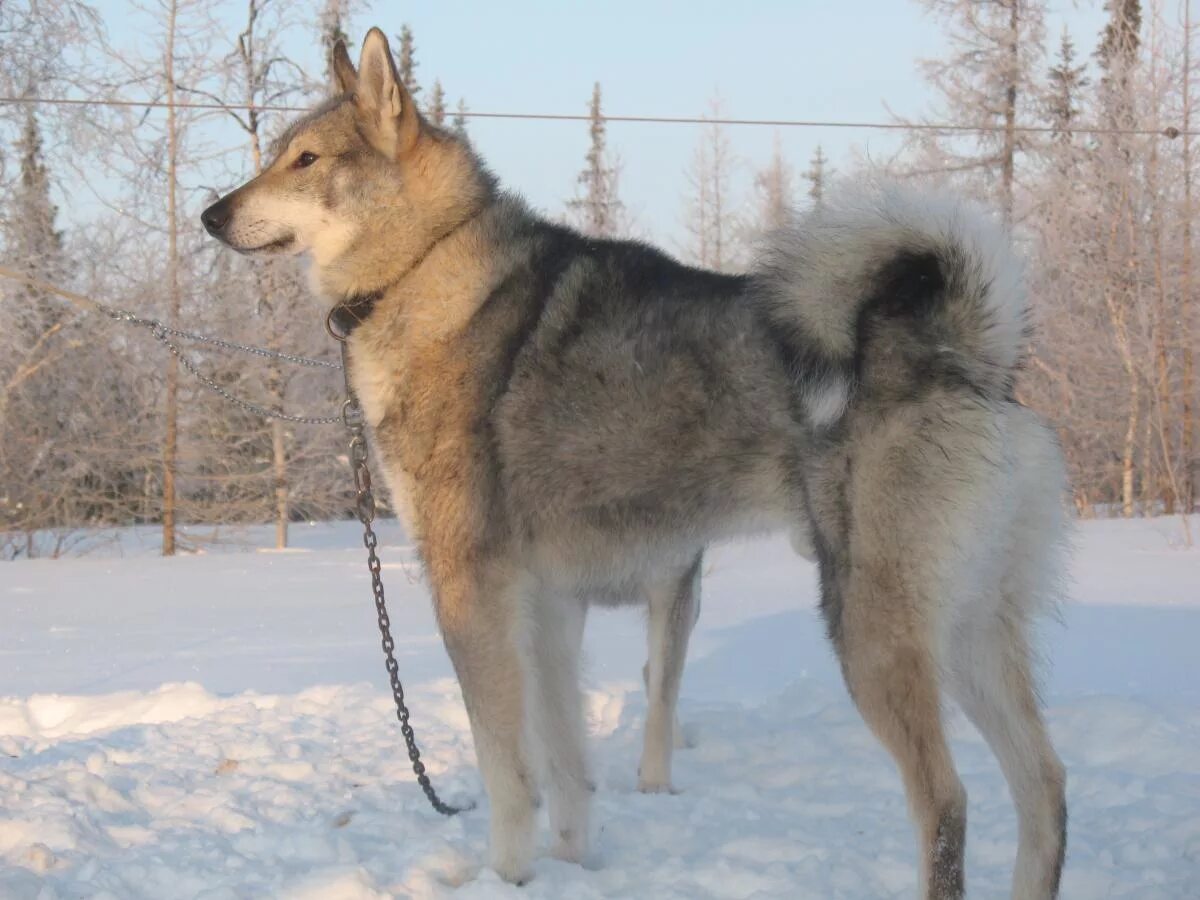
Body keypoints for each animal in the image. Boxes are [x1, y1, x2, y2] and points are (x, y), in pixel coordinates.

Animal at [199, 28, 1070, 900]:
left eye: (304, 159)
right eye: (276, 155)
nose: (210, 213)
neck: (424, 267)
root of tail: (964, 356)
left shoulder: (471, 591)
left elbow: (508, 774)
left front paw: (506, 877)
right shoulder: (550, 606)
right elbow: (565, 768)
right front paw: (570, 866)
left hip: (873, 634)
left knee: (947, 803)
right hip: (970, 635)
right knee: (1047, 790)